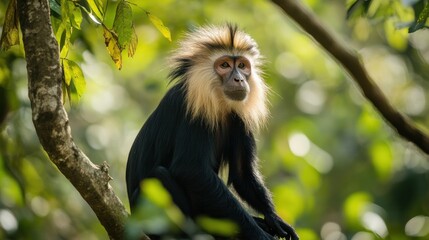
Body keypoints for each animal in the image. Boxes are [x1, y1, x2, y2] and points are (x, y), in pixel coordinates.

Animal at [124, 23, 298, 240]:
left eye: (242, 66)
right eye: (224, 65)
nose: (239, 79)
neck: (219, 103)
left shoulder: (238, 119)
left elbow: (242, 173)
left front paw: (274, 219)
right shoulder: (196, 108)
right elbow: (191, 170)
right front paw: (259, 234)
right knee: (159, 175)